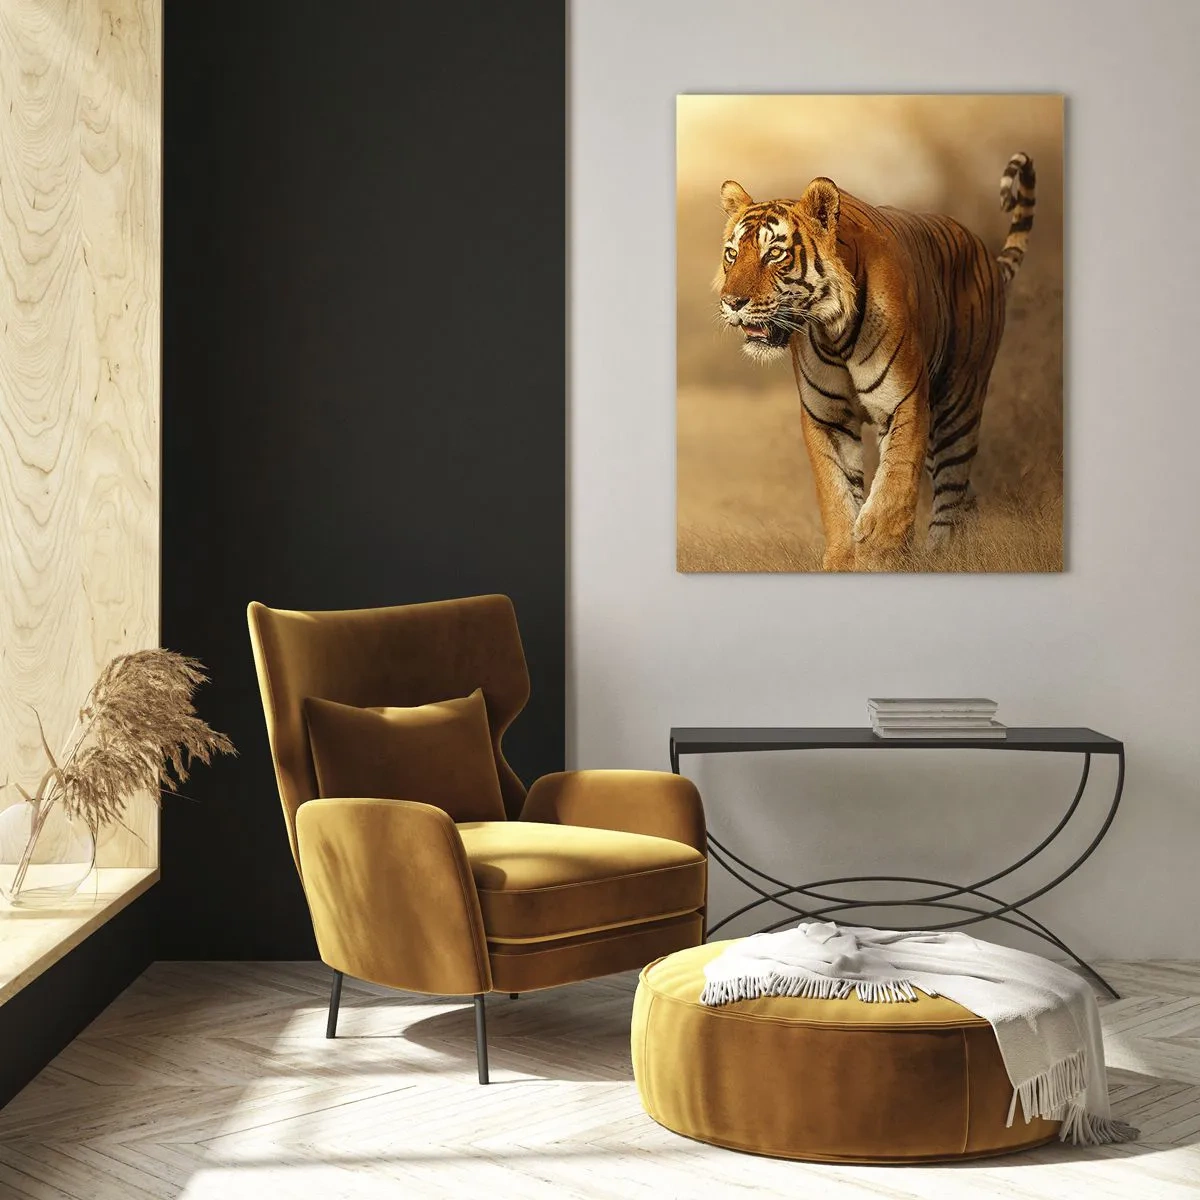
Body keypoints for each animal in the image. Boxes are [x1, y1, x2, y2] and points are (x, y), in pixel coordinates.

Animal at [716, 153, 1036, 571]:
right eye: (732, 254)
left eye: (775, 254)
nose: (731, 302)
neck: (832, 331)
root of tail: (986, 254)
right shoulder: (827, 417)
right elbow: (835, 493)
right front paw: (843, 558)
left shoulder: (905, 402)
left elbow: (894, 482)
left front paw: (879, 553)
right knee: (967, 495)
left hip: (957, 405)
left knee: (952, 489)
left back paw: (943, 554)